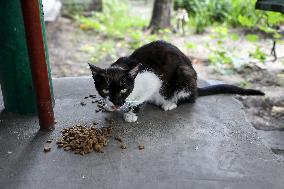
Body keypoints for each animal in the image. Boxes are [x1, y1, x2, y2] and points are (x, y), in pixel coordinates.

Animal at [89, 40, 264, 122]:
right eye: (105, 90)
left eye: (124, 89)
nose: (116, 103)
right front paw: (109, 105)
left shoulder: (152, 80)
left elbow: (139, 99)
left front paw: (132, 113)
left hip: (184, 73)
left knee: (190, 98)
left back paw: (170, 103)